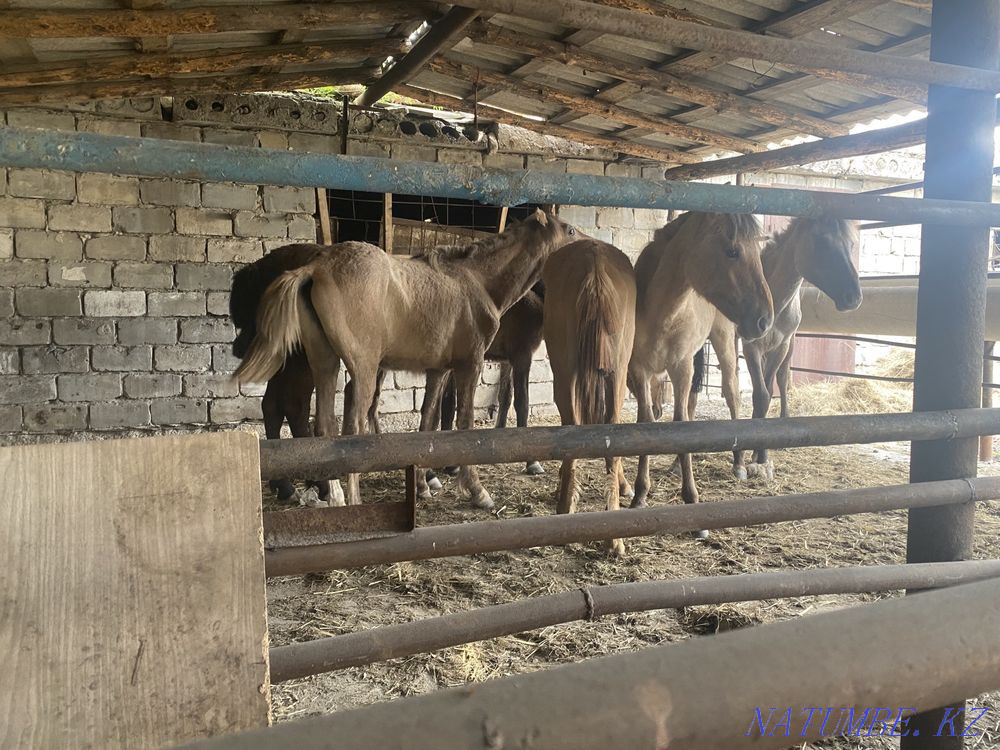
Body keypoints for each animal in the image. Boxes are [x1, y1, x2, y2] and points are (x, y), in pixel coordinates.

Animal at [234, 209, 578, 508]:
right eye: (571, 231)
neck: (476, 282)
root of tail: (314, 269)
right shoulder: (472, 364)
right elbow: (465, 422)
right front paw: (477, 491)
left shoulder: (439, 370)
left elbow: (428, 421)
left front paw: (425, 485)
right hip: (363, 369)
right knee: (350, 426)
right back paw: (350, 499)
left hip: (324, 363)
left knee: (324, 425)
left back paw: (334, 497)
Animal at [627, 212, 773, 535]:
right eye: (732, 250)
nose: (765, 320)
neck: (662, 310)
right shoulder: (641, 370)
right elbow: (646, 422)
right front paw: (640, 494)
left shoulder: (681, 366)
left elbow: (681, 425)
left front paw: (692, 501)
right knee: (692, 403)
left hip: (723, 343)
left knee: (731, 395)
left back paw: (739, 463)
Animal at [693, 217, 862, 480]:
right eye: (821, 241)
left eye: (851, 244)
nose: (853, 297)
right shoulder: (751, 347)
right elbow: (760, 394)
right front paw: (756, 455)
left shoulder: (781, 345)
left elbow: (771, 388)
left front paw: (761, 453)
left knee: (781, 380)